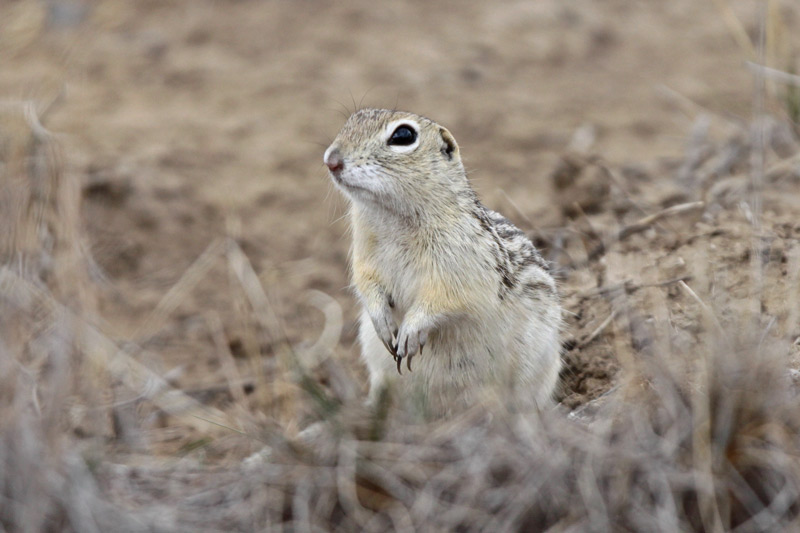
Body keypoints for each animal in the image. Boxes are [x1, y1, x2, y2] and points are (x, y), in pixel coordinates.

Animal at [324, 108, 564, 416]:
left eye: (403, 135)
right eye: (351, 120)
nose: (331, 161)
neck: (392, 216)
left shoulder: (460, 267)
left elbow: (442, 301)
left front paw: (410, 332)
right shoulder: (364, 259)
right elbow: (367, 286)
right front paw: (383, 323)